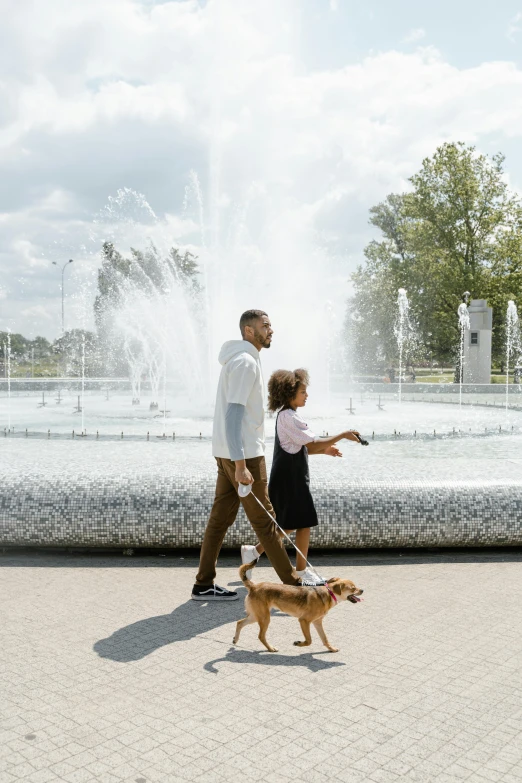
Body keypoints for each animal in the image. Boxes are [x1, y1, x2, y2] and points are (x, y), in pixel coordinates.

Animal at [233, 560, 362, 652]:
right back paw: (270, 648)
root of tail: (254, 586)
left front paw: (331, 649)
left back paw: (235, 639)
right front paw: (299, 643)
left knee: (239, 622)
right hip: (264, 618)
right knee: (260, 636)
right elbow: (309, 640)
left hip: (256, 616)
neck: (328, 593)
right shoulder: (304, 621)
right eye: (353, 588)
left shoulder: (317, 622)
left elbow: (325, 638)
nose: (362, 590)